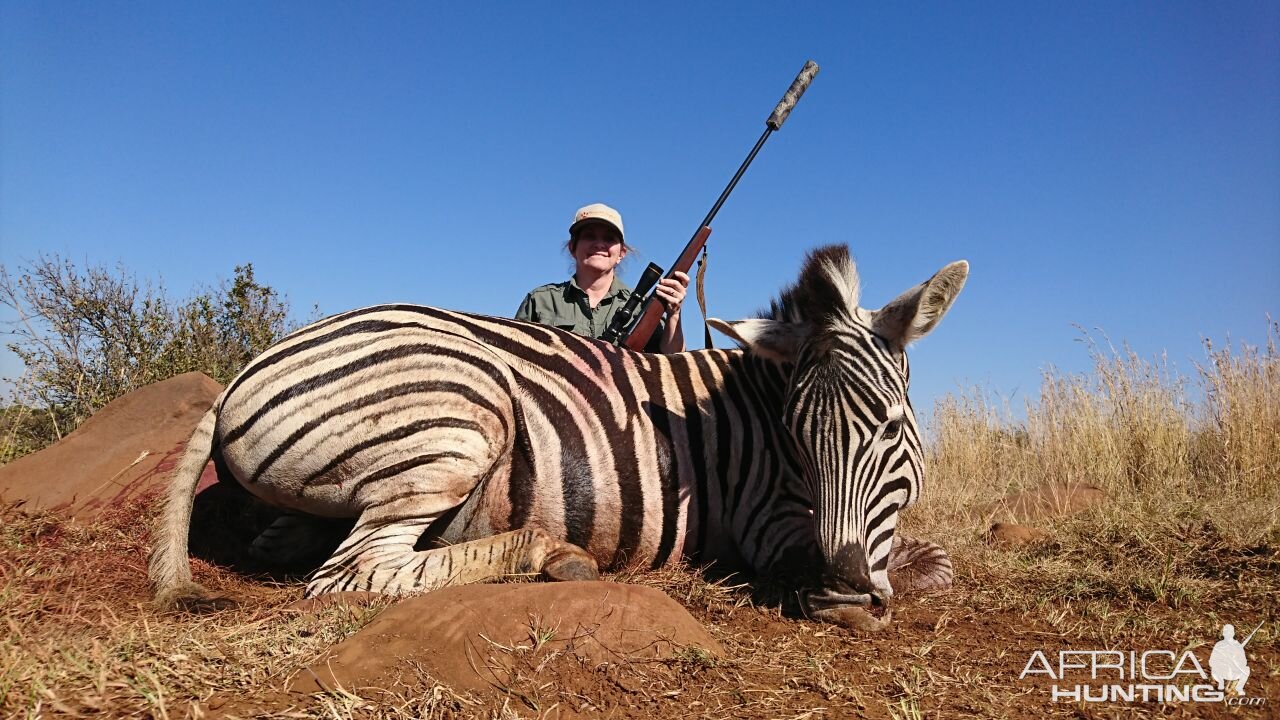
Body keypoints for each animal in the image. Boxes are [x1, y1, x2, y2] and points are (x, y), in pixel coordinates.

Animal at [149, 242, 962, 622]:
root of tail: (247, 369)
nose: (842, 589)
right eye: (796, 435)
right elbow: (918, 565)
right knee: (353, 573)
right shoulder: (769, 523)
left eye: (892, 426)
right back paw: (551, 555)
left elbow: (938, 561)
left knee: (301, 543)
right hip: (460, 416)